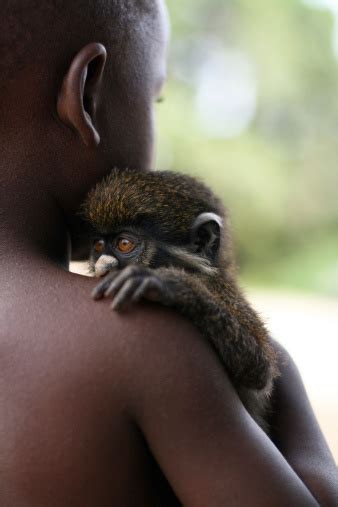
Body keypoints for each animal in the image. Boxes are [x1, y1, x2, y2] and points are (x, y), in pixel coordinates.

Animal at [82, 169, 280, 430]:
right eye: (98, 246)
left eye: (124, 244)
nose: (102, 268)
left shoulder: (220, 289)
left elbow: (259, 368)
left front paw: (173, 285)